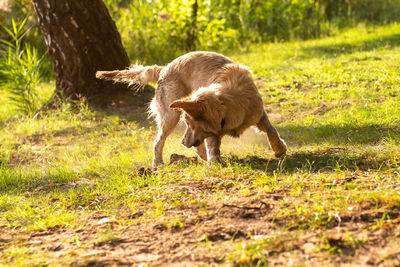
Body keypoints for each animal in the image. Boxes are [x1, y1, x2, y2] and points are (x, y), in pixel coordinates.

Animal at [95, 51, 286, 171]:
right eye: (187, 122)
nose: (182, 142)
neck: (228, 101)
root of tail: (164, 67)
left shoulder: (258, 112)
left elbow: (271, 130)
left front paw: (279, 149)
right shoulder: (210, 131)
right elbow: (212, 146)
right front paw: (214, 162)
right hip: (170, 115)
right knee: (158, 142)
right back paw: (158, 165)